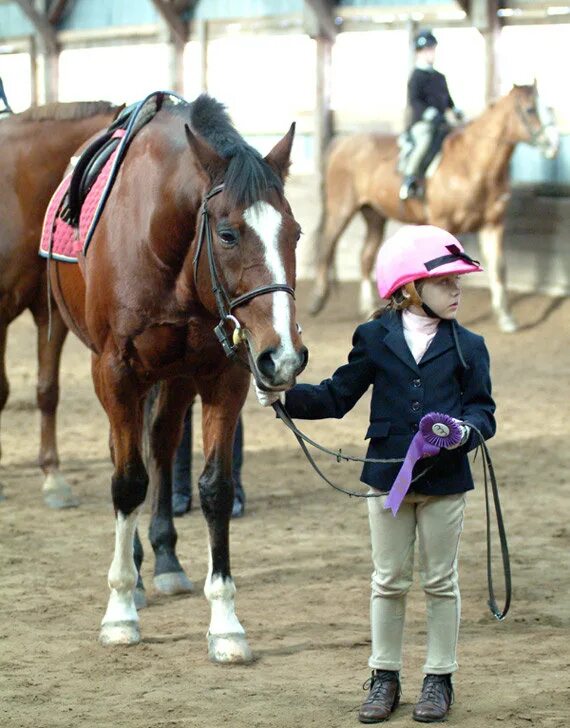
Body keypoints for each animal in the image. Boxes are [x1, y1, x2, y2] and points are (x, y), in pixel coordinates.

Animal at [48, 94, 306, 664]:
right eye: (228, 234)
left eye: (296, 234)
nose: (283, 357)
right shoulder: (117, 371)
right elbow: (127, 482)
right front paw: (120, 610)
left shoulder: (223, 374)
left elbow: (214, 488)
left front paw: (226, 623)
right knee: (130, 456)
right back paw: (139, 573)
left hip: (176, 376)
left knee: (162, 444)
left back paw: (165, 560)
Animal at [308, 84, 556, 332]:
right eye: (530, 109)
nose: (553, 145)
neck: (470, 163)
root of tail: (342, 143)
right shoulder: (443, 223)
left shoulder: (492, 225)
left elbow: (499, 268)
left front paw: (506, 317)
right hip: (341, 210)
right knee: (326, 247)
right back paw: (317, 301)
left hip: (374, 215)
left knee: (366, 257)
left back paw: (367, 308)